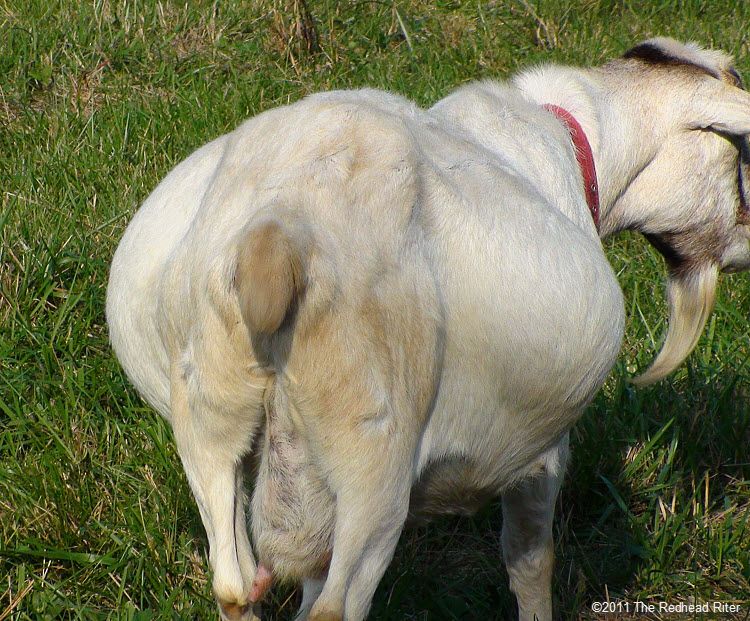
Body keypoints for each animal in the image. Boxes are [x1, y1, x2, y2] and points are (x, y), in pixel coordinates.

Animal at [106, 38, 750, 620]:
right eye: (736, 158)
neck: (575, 140)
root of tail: (277, 229)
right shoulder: (541, 454)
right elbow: (530, 562)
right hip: (373, 454)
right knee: (334, 606)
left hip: (211, 421)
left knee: (235, 586)